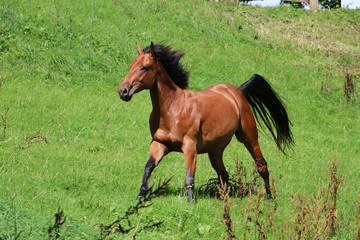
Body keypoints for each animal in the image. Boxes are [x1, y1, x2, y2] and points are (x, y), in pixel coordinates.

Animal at [118, 42, 292, 202]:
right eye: (131, 65)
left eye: (145, 67)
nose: (123, 91)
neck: (172, 110)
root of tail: (237, 91)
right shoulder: (159, 144)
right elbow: (148, 168)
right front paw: (139, 198)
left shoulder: (189, 146)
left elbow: (189, 177)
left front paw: (190, 204)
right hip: (215, 149)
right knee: (223, 174)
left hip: (248, 137)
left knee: (261, 165)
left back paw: (269, 198)